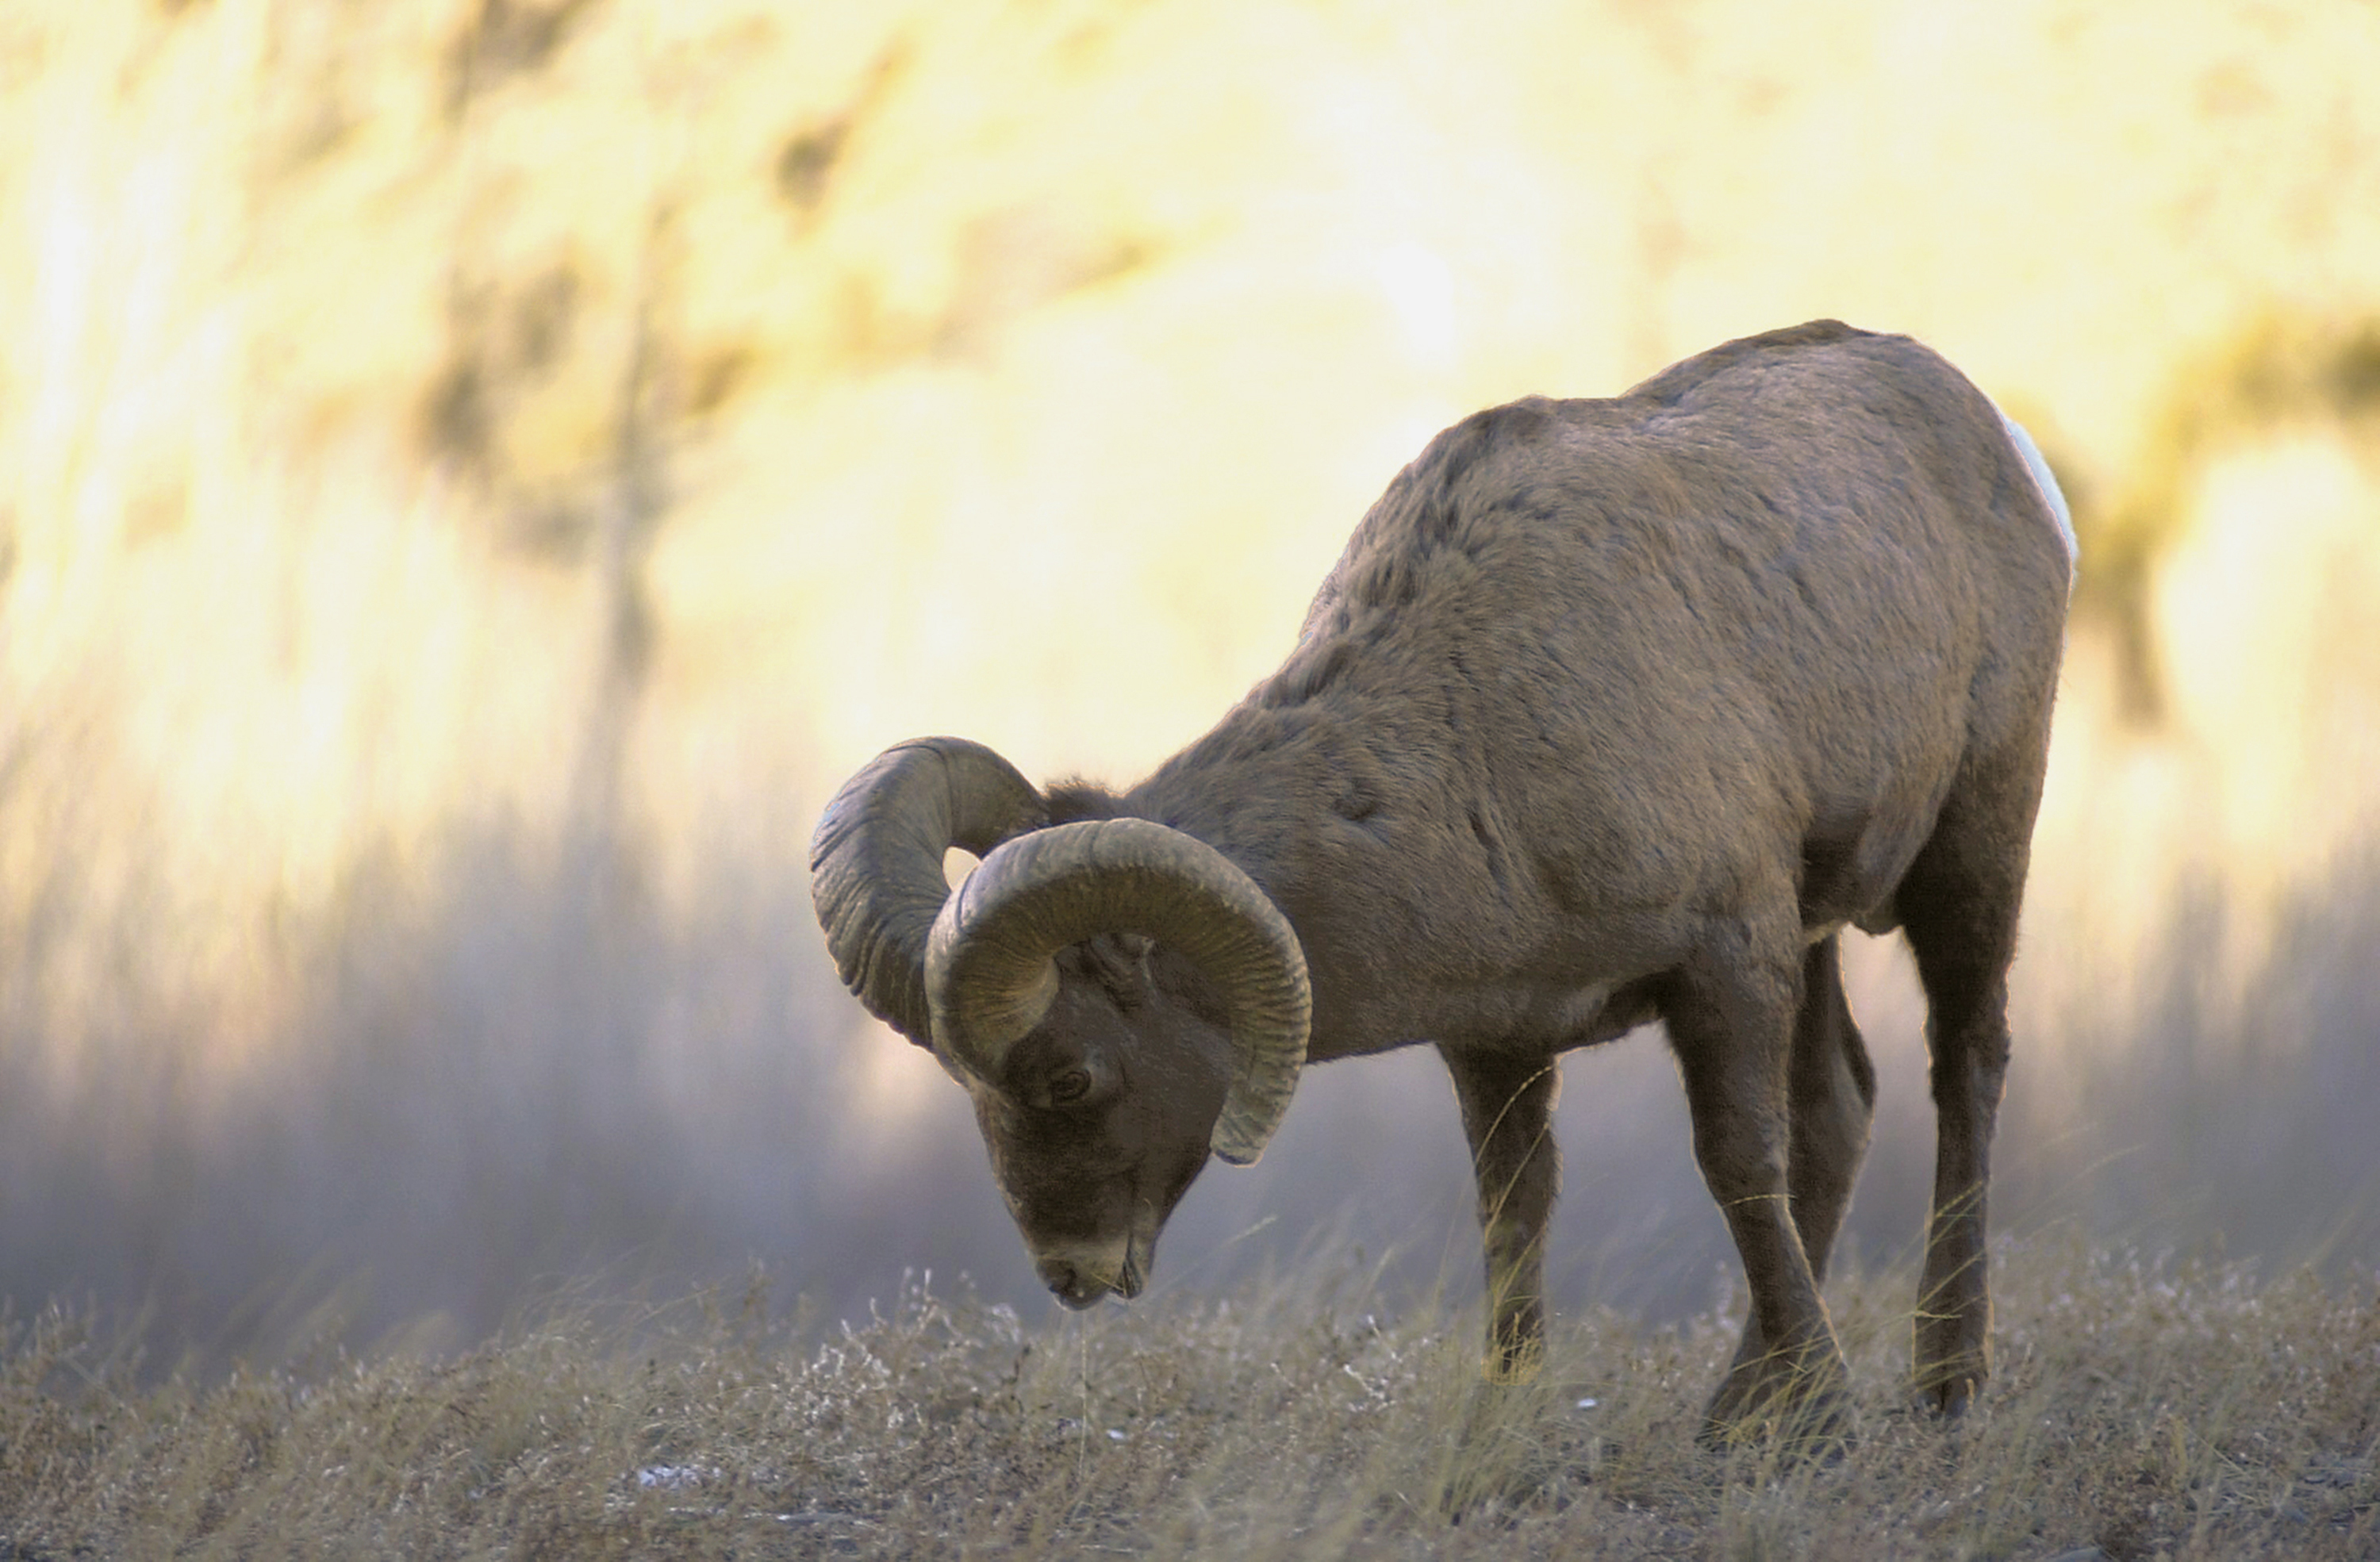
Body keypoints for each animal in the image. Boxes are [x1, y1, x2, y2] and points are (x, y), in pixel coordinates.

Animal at [810, 319, 2074, 1443]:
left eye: (1070, 1075)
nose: (1072, 1274)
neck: (1474, 730)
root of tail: (1999, 439)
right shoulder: (1499, 1040)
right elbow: (1514, 1209)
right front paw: (1504, 1423)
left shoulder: (1729, 960)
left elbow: (1740, 1168)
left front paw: (1826, 1423)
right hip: (1824, 936)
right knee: (1846, 1107)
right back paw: (1735, 1411)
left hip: (1975, 846)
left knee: (1966, 1064)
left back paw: (1943, 1386)